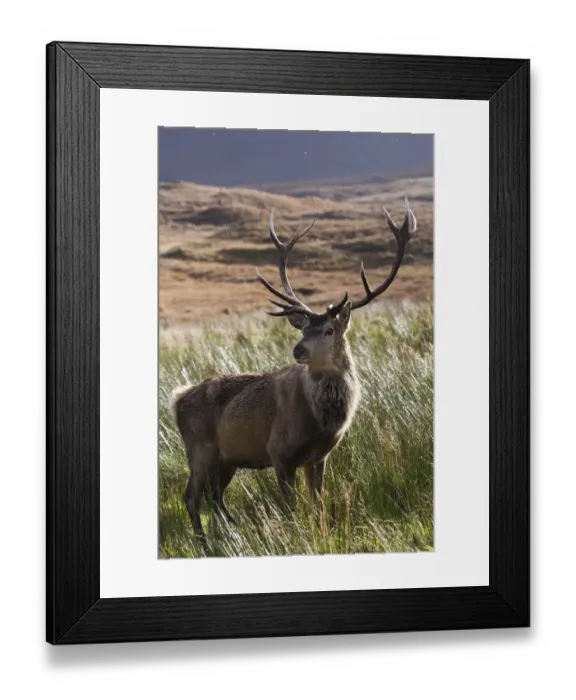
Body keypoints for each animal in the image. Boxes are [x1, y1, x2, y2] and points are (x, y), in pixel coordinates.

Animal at [172, 197, 417, 537]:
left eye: (328, 330)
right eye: (303, 330)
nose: (298, 349)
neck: (321, 422)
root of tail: (176, 399)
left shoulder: (320, 457)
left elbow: (319, 504)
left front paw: (322, 534)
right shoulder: (279, 451)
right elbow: (291, 509)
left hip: (226, 458)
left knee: (215, 497)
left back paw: (230, 533)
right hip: (199, 449)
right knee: (192, 496)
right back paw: (204, 541)